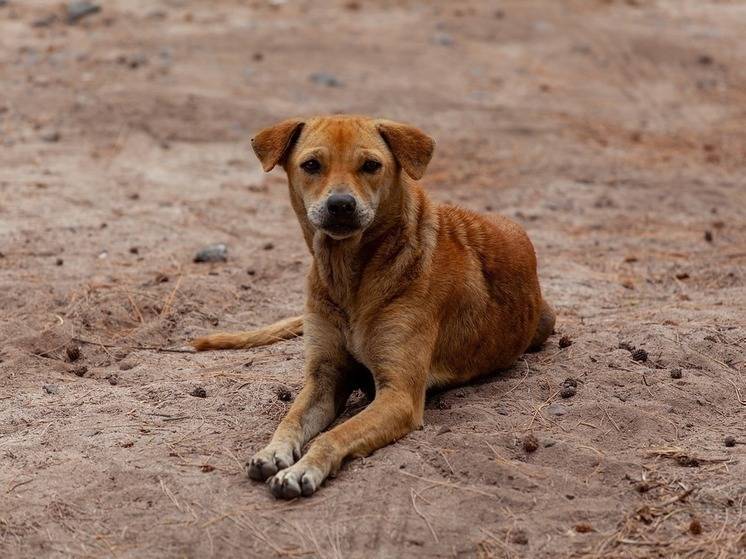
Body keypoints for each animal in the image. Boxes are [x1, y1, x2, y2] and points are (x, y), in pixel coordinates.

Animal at [192, 116, 552, 500]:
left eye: (370, 165)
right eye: (311, 165)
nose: (341, 205)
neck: (349, 276)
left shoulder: (399, 395)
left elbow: (333, 435)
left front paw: (303, 469)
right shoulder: (324, 377)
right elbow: (290, 419)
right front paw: (273, 451)